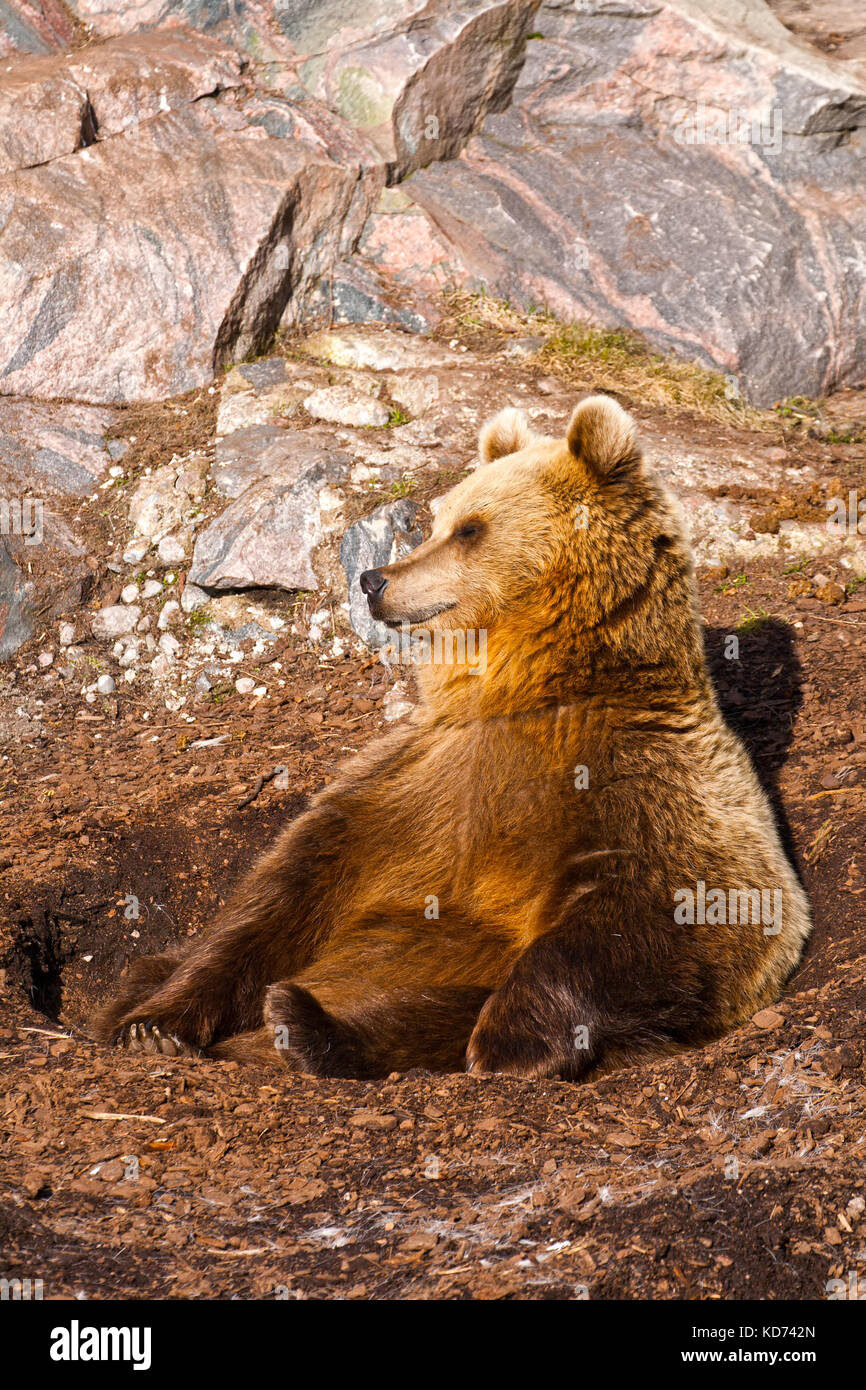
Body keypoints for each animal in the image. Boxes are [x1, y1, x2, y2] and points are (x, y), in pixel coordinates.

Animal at [92, 394, 811, 1080]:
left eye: (471, 528)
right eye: (436, 522)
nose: (374, 578)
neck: (528, 688)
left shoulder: (647, 783)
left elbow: (670, 910)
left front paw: (510, 1040)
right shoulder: (407, 784)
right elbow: (278, 898)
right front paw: (154, 1024)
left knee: (434, 1009)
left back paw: (309, 1027)